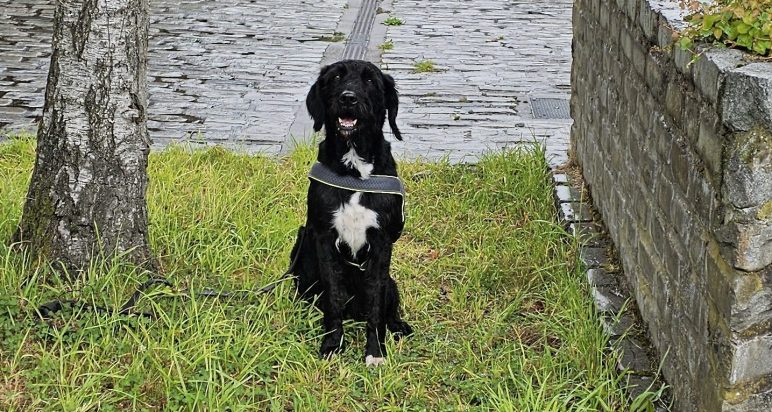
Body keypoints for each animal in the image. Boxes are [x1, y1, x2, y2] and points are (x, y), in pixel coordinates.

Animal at [290, 59, 410, 366]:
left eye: (370, 81)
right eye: (335, 78)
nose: (348, 98)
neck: (354, 171)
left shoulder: (381, 244)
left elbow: (377, 304)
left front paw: (375, 352)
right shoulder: (323, 238)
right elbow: (333, 297)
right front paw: (332, 344)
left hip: (392, 284)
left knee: (389, 306)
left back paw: (399, 326)